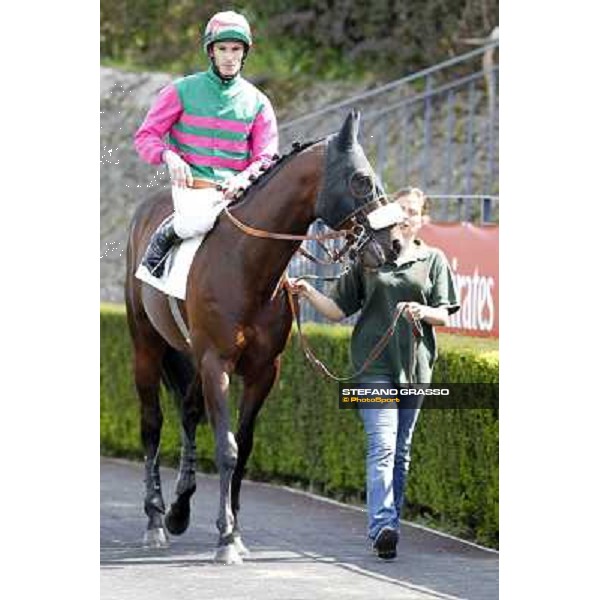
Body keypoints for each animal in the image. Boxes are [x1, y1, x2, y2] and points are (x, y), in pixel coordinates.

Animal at [123, 110, 398, 564]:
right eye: (361, 179)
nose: (393, 243)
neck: (246, 266)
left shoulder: (263, 370)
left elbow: (245, 446)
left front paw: (235, 532)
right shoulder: (217, 363)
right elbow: (227, 447)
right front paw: (224, 539)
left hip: (191, 355)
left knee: (189, 412)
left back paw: (179, 510)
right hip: (146, 346)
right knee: (151, 423)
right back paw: (155, 520)